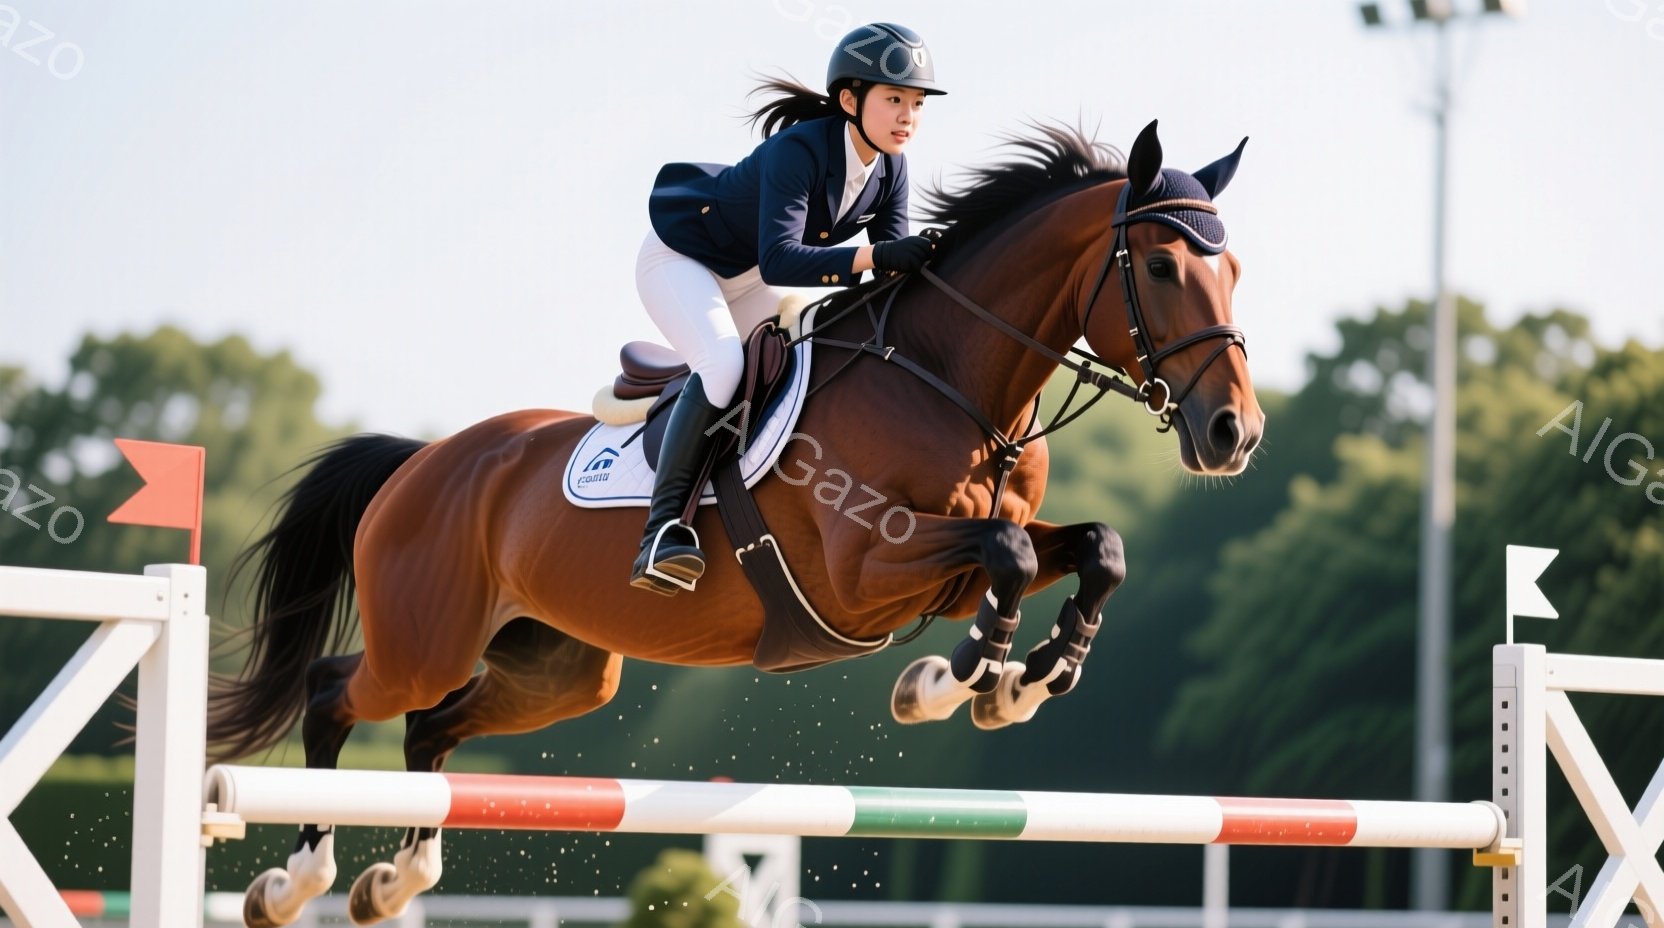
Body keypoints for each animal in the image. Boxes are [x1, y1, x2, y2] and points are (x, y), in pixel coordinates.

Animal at [208, 119, 1263, 927]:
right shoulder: (864, 571)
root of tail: (422, 461)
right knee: (336, 693)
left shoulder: (955, 561)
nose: (1235, 434)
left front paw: (1028, 680)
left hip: (558, 668)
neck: (950, 380)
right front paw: (949, 683)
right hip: (425, 639)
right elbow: (1002, 555)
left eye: (1236, 270)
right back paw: (294, 882)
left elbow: (1095, 550)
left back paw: (396, 882)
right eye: (1161, 265)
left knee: (429, 733)